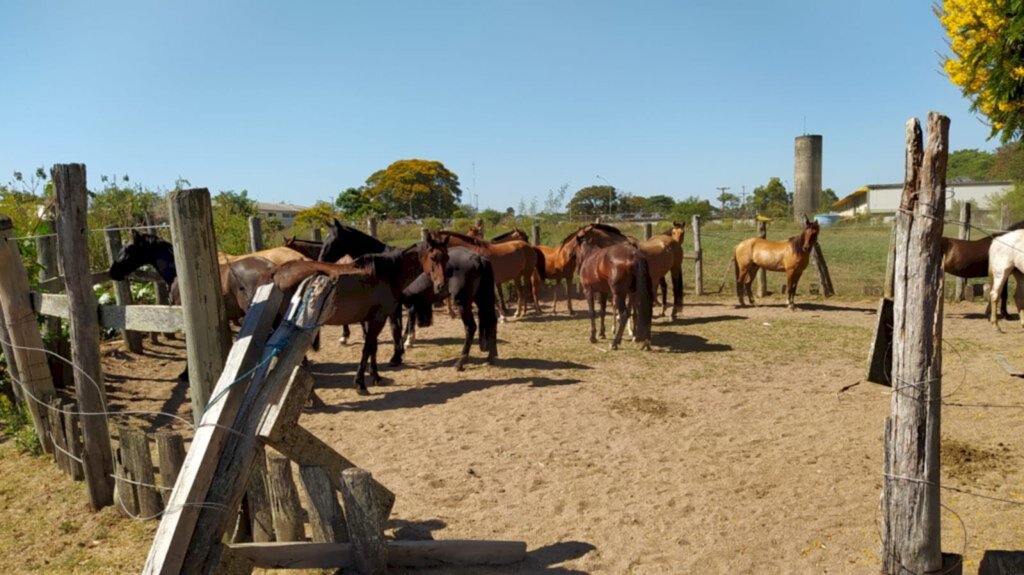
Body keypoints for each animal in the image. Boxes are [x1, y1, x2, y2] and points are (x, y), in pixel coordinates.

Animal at [266, 238, 446, 392]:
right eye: (433, 257)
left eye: (445, 257)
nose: (441, 286)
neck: (387, 274)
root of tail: (277, 272)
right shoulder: (377, 319)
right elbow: (367, 348)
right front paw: (360, 383)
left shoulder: (369, 320)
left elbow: (373, 347)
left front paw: (375, 376)